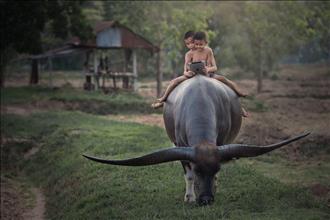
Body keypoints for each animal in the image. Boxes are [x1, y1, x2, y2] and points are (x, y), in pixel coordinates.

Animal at [84, 75, 310, 205]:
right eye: (199, 170)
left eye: (216, 169)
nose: (207, 199)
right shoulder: (180, 147)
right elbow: (188, 175)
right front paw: (190, 197)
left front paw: (214, 186)